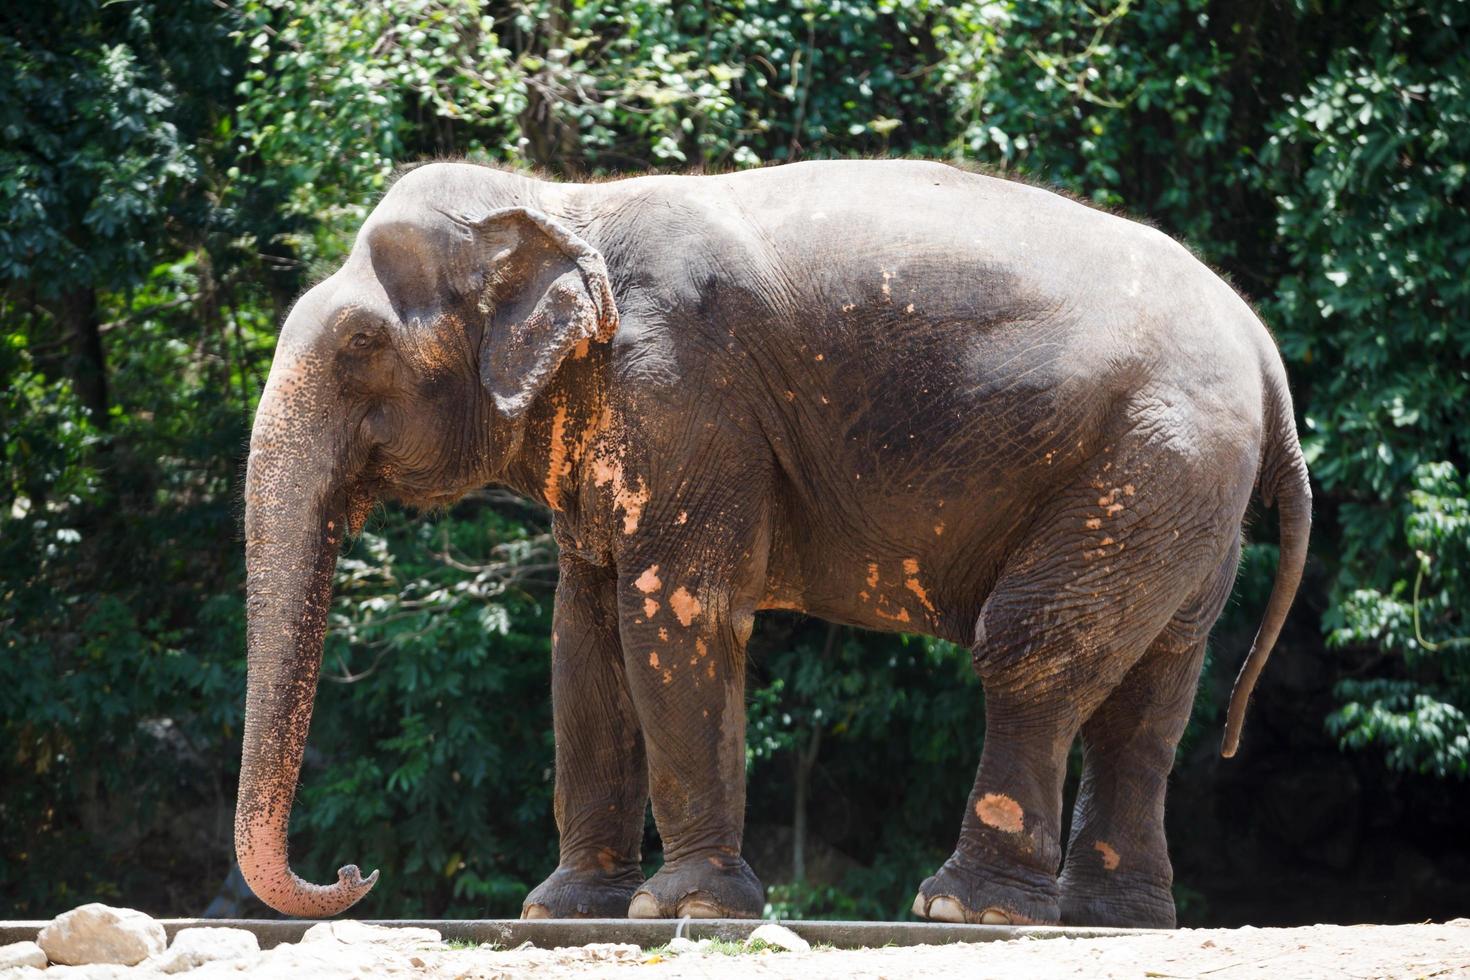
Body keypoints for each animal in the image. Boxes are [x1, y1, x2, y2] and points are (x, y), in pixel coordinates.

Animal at [238, 159, 1311, 928]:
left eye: (360, 348)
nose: (355, 870)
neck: (565, 202)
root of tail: (1266, 358)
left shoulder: (684, 395)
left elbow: (677, 611)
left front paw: (683, 908)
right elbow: (583, 637)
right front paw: (563, 910)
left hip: (1151, 462)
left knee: (1033, 653)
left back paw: (964, 908)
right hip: (1186, 496)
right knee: (1151, 697)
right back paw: (1110, 918)